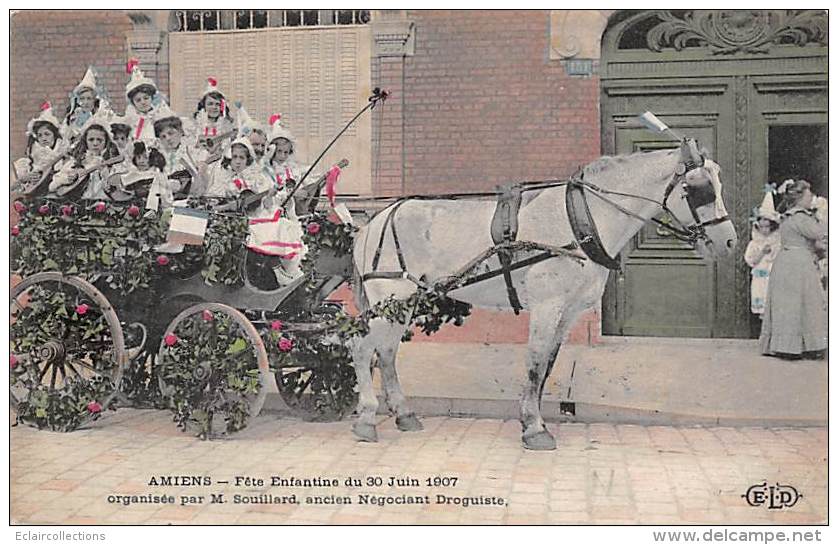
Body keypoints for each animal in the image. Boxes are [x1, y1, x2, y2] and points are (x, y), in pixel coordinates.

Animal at [352, 141, 740, 450]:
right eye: (700, 188)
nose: (730, 242)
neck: (581, 221)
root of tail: (373, 222)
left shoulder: (568, 312)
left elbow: (548, 364)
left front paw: (531, 419)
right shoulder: (547, 306)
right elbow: (536, 362)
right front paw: (535, 428)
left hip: (402, 303)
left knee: (386, 354)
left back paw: (404, 414)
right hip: (388, 297)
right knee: (362, 348)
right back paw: (366, 418)